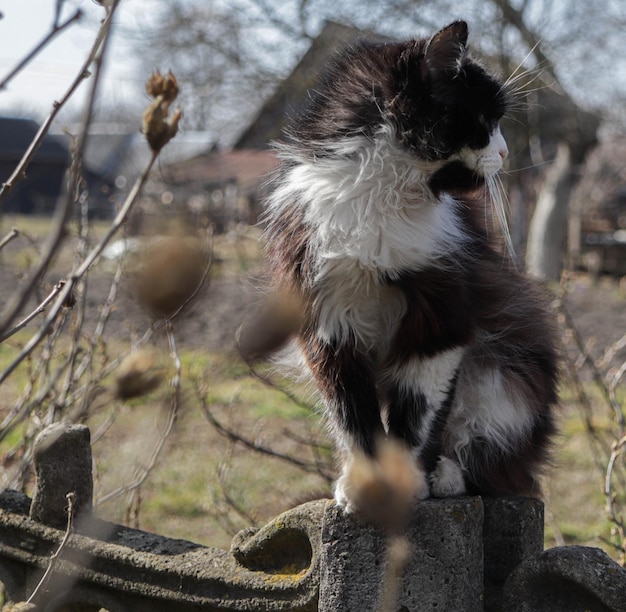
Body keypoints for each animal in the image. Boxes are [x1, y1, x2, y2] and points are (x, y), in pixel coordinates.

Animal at [254, 20, 556, 512]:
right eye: (484, 120)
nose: (507, 154)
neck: (379, 194)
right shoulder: (327, 324)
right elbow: (352, 414)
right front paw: (363, 484)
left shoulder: (442, 317)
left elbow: (415, 412)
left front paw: (405, 482)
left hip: (504, 376)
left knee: (495, 463)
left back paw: (446, 476)